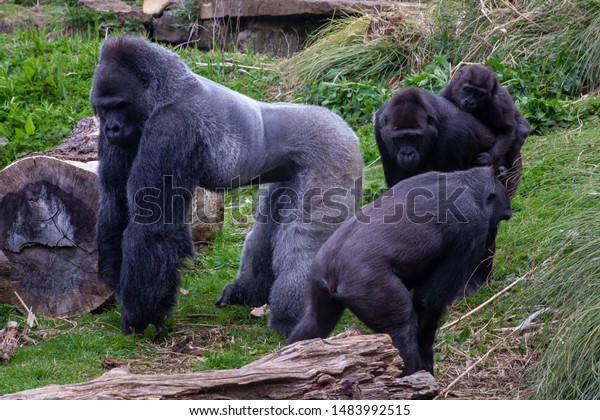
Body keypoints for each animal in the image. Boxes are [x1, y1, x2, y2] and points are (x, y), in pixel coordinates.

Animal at [89, 37, 360, 336]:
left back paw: (292, 319)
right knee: (267, 227)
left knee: (302, 243)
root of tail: (344, 124)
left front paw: (141, 315)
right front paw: (116, 285)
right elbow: (115, 205)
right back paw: (249, 293)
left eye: (120, 105)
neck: (165, 91)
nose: (112, 128)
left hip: (334, 154)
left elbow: (153, 227)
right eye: (103, 109)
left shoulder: (172, 126)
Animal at [286, 166, 510, 376]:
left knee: (316, 322)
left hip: (317, 276)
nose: (493, 236)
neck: (468, 183)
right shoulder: (471, 231)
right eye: (500, 219)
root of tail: (331, 271)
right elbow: (428, 303)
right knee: (401, 331)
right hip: (368, 287)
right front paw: (426, 365)